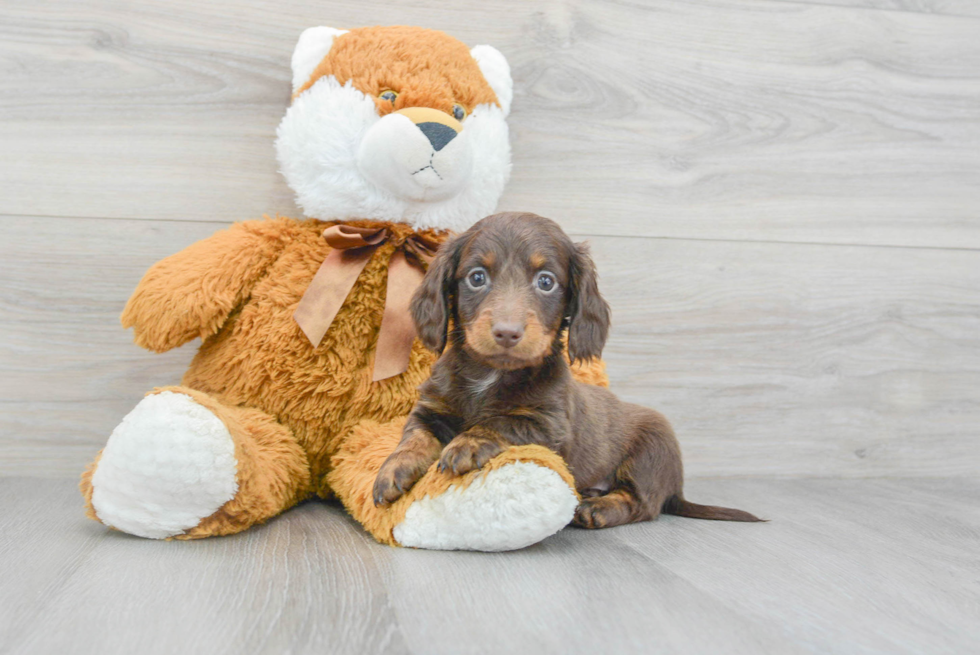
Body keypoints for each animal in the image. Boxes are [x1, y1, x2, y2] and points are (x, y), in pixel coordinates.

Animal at [372, 213, 760, 532]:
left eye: (546, 282)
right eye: (477, 277)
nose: (507, 333)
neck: (490, 375)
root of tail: (676, 487)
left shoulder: (547, 424)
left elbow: (500, 422)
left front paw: (467, 443)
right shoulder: (430, 410)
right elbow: (414, 437)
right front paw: (393, 470)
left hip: (652, 450)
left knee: (642, 503)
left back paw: (596, 508)